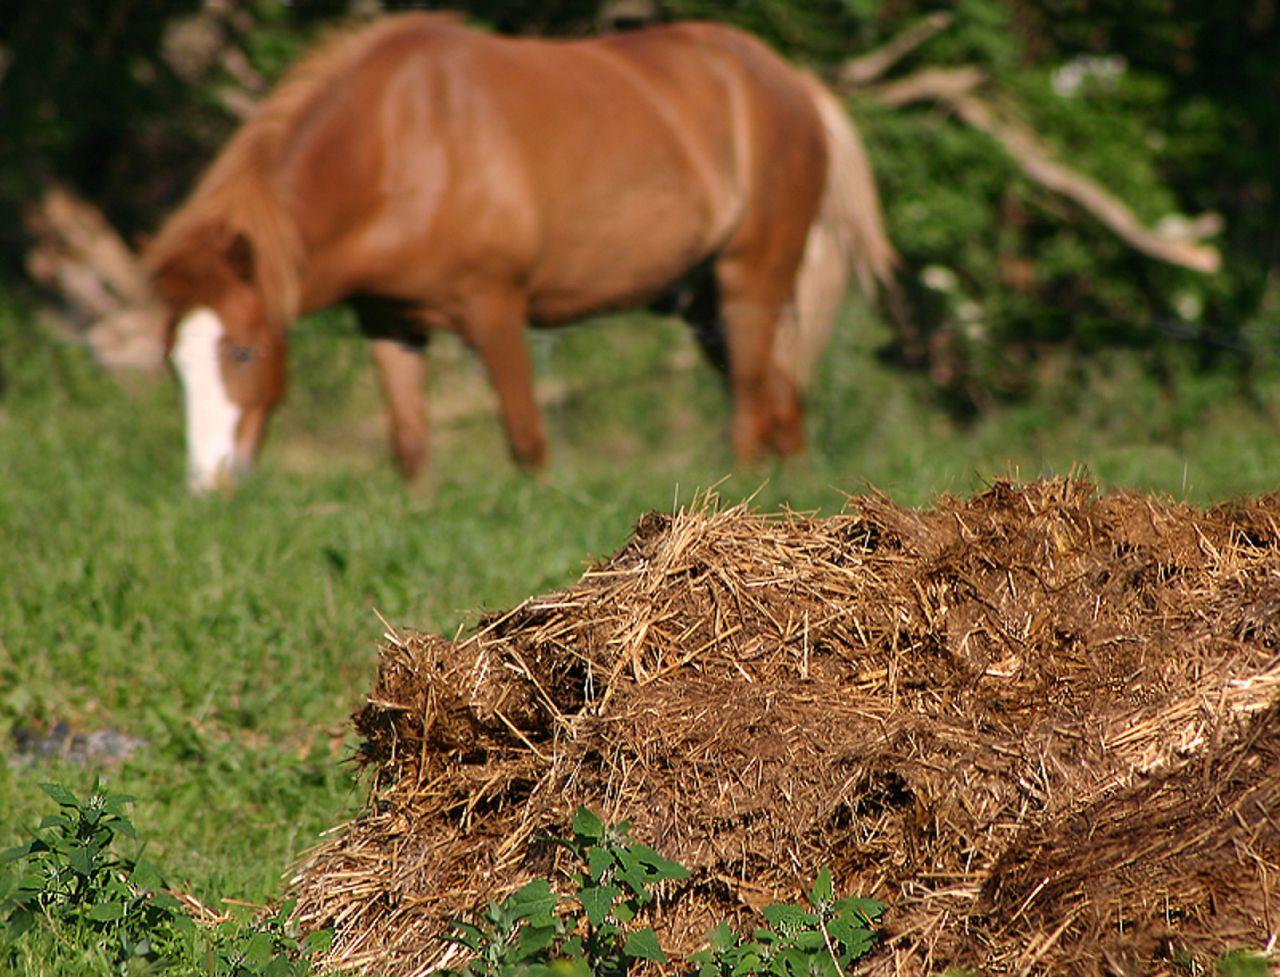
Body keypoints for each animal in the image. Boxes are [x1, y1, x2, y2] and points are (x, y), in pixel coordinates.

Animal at [145, 11, 896, 491]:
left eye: (243, 352)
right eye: (175, 364)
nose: (207, 483)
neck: (400, 143)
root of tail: (794, 83)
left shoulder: (495, 309)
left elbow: (527, 441)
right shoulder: (390, 322)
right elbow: (410, 446)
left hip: (751, 281)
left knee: (750, 406)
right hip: (703, 302)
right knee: (781, 399)